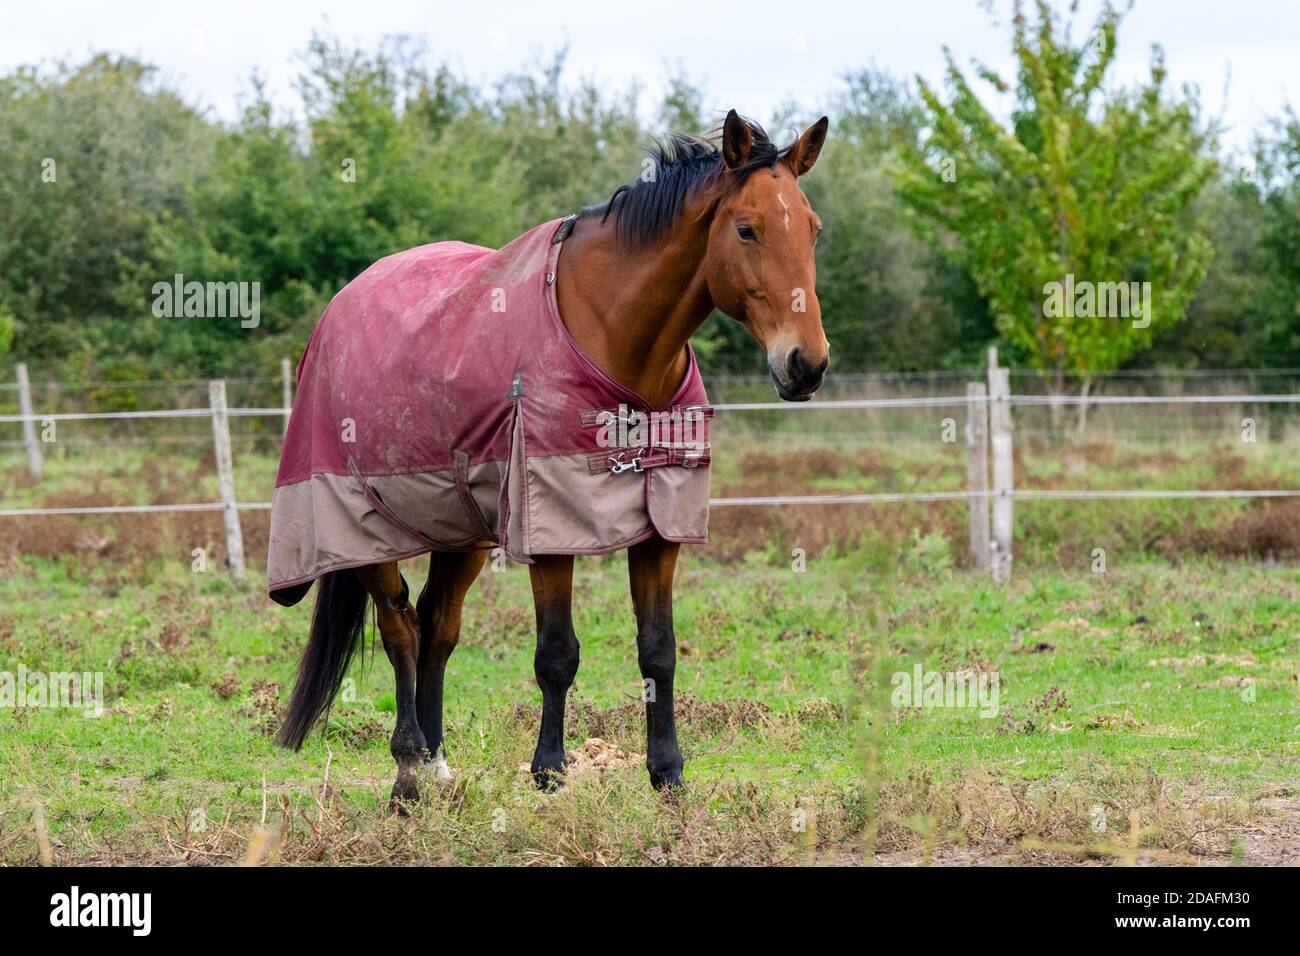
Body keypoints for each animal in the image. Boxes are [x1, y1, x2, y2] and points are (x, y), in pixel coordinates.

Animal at [271, 110, 830, 810]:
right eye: (747, 228)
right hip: (363, 524)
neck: (616, 341)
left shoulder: (660, 525)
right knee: (401, 630)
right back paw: (408, 775)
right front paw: (549, 772)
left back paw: (438, 764)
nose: (806, 364)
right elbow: (557, 653)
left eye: (812, 228)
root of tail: (341, 306)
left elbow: (659, 650)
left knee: (438, 626)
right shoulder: (551, 525)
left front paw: (668, 775)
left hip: (462, 528)